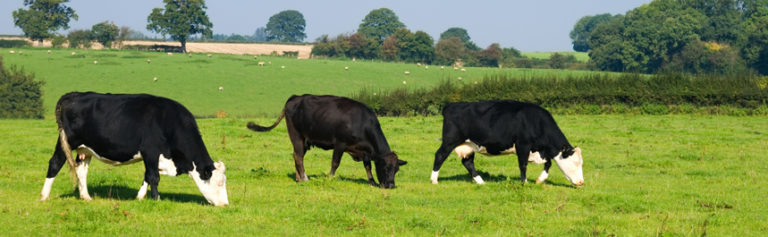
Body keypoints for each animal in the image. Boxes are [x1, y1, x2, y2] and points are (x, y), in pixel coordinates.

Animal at [42, 91, 228, 206]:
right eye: (219, 183)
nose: (225, 205)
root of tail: (74, 95)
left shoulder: (154, 157)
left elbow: (147, 176)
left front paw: (139, 197)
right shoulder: (151, 151)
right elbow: (153, 177)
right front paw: (156, 199)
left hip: (85, 149)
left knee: (81, 170)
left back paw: (86, 197)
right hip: (66, 142)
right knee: (54, 163)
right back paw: (44, 196)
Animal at [249, 93, 408, 188]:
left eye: (397, 169)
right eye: (386, 168)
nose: (391, 185)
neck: (361, 123)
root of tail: (295, 97)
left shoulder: (365, 151)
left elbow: (367, 166)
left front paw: (372, 181)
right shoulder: (340, 144)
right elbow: (335, 163)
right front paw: (330, 177)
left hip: (305, 140)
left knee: (297, 156)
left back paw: (299, 178)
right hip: (297, 136)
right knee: (298, 157)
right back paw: (305, 178)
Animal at [428, 100, 584, 185]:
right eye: (575, 163)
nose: (581, 182)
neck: (535, 121)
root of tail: (451, 106)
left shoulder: (538, 150)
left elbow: (549, 163)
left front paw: (540, 179)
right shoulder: (523, 145)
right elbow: (523, 165)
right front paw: (524, 182)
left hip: (469, 145)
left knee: (467, 162)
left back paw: (481, 181)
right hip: (450, 140)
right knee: (440, 155)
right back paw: (434, 180)